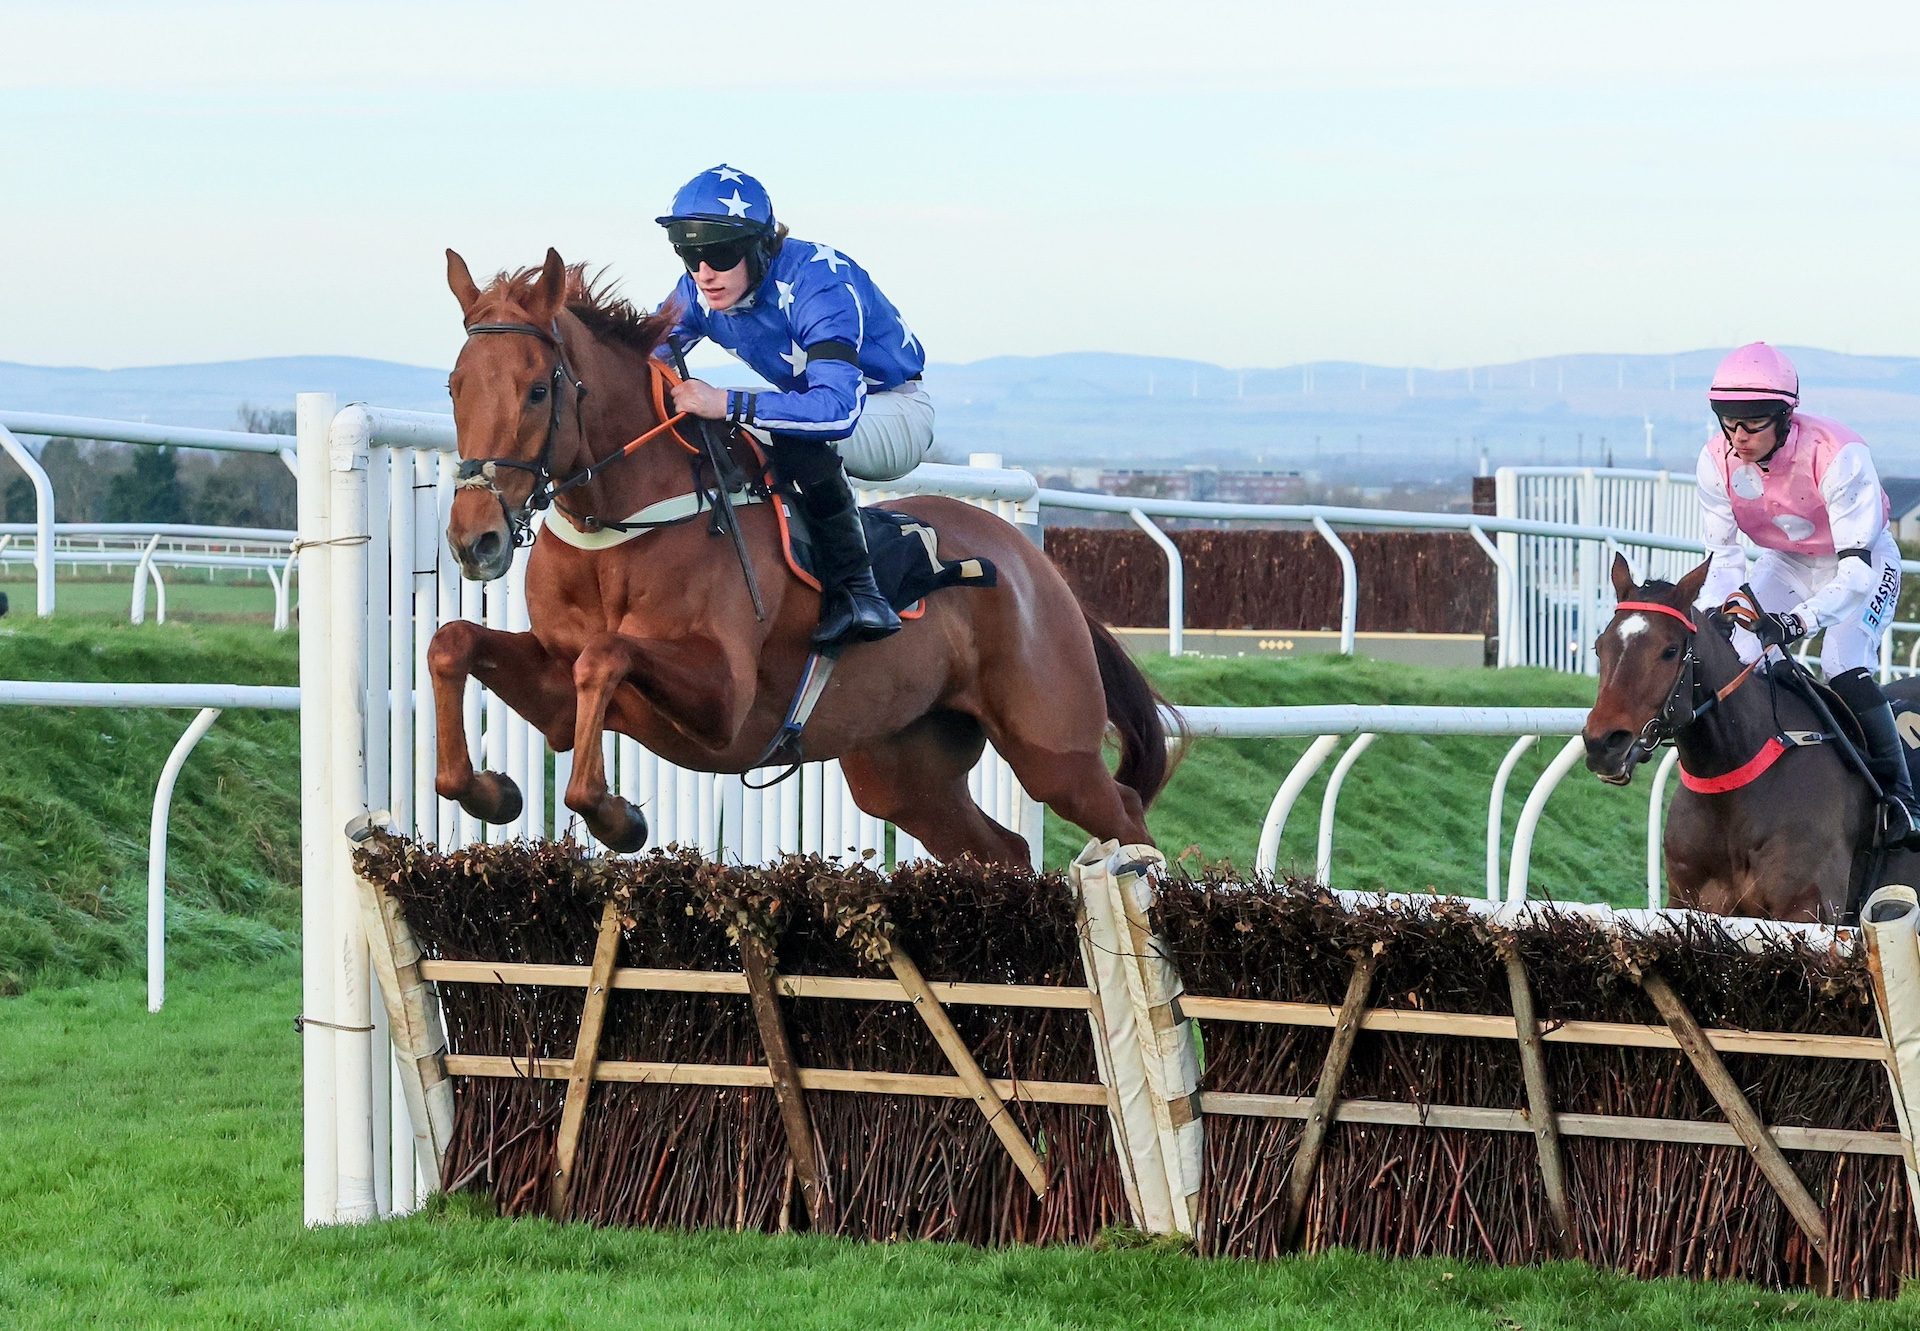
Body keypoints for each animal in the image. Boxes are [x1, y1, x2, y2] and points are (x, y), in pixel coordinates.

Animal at [428, 251, 1167, 860]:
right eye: (454, 386)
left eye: (537, 390)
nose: (475, 538)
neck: (620, 531)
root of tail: (1038, 568)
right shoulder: (557, 693)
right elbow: (453, 643)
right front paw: (489, 790)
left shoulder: (725, 698)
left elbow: (604, 657)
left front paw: (618, 818)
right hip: (905, 772)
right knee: (1003, 849)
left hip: (1055, 751)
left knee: (1125, 814)